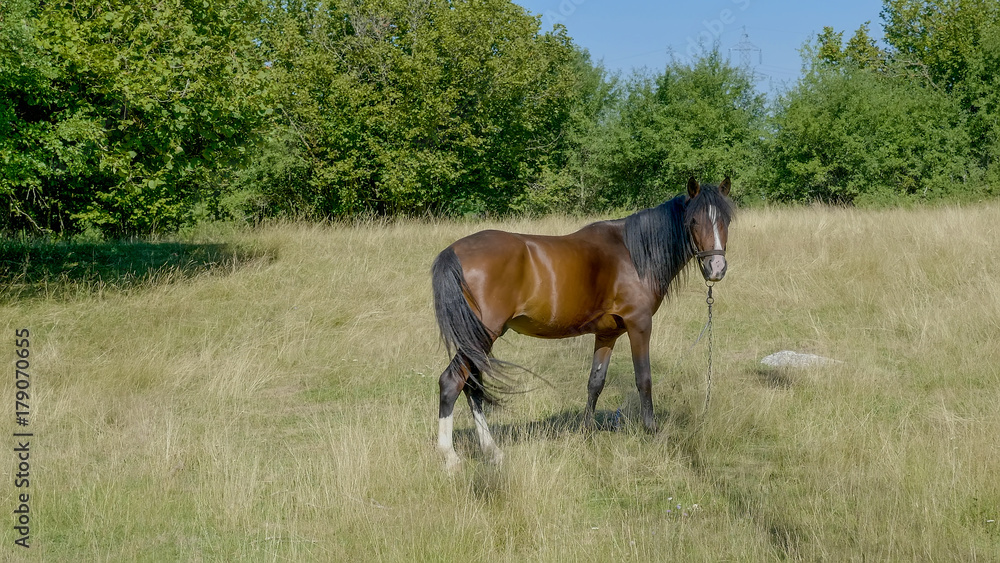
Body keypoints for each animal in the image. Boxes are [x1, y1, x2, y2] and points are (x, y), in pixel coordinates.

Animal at [431, 177, 733, 472]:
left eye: (725, 221)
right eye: (693, 221)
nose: (716, 269)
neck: (632, 254)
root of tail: (453, 251)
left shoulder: (608, 334)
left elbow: (595, 382)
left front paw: (587, 433)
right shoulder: (639, 325)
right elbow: (644, 379)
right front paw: (652, 431)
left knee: (471, 387)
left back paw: (492, 452)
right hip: (481, 335)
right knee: (451, 382)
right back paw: (450, 457)